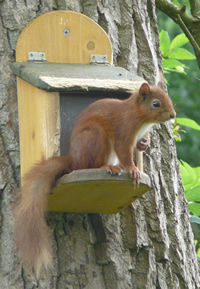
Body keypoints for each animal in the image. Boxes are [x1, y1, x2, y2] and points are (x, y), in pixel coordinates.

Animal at [13, 81, 176, 276]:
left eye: (168, 98)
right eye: (155, 104)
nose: (173, 115)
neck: (139, 117)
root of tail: (74, 159)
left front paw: (145, 143)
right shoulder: (124, 130)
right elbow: (124, 152)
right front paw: (132, 168)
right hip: (96, 137)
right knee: (92, 163)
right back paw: (107, 167)